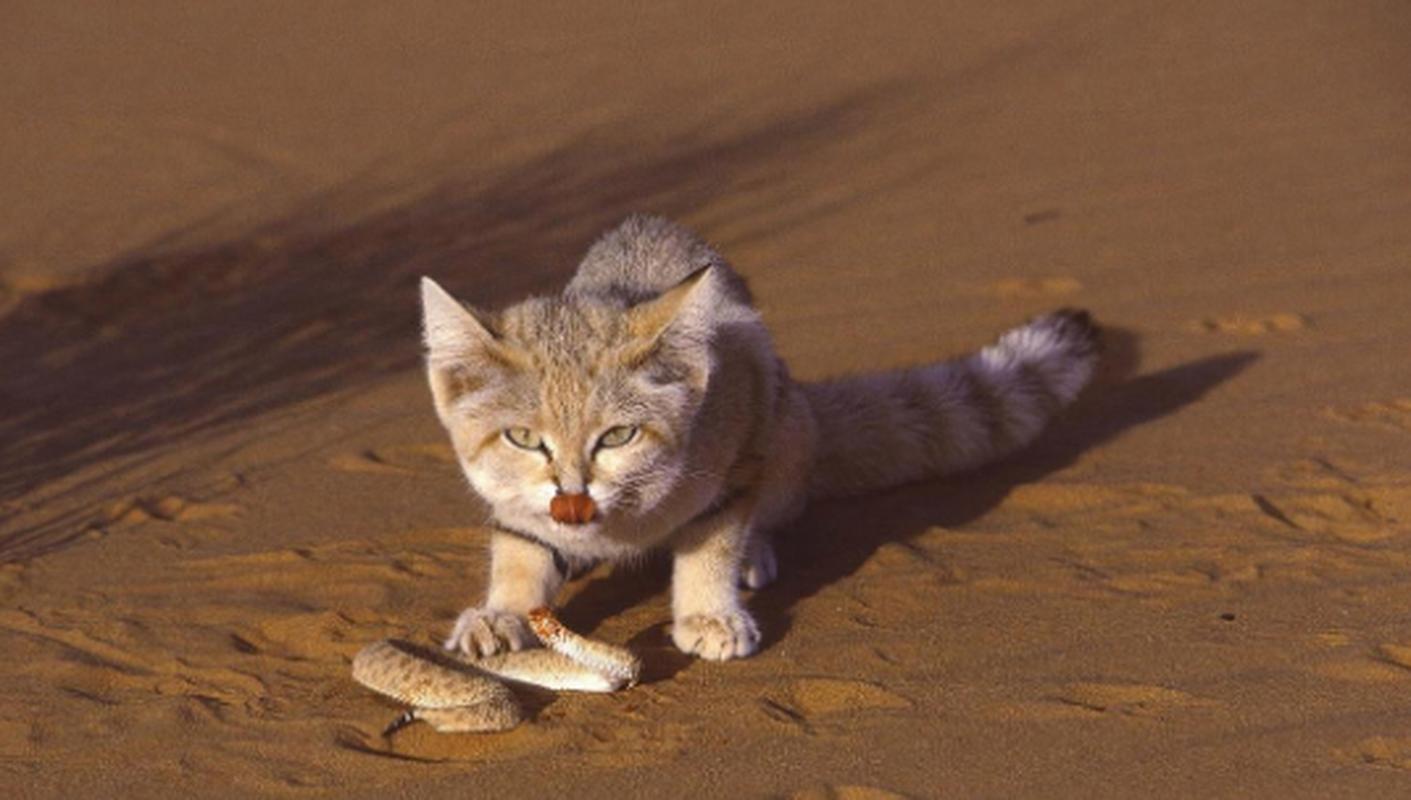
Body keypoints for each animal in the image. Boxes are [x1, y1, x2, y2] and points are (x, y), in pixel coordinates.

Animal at [420, 214, 1100, 663]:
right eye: (522, 438)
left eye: (617, 435)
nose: (572, 501)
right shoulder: (514, 503)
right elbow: (520, 550)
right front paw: (502, 613)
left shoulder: (738, 443)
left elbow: (710, 539)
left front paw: (707, 612)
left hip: (785, 429)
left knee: (771, 512)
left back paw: (753, 555)